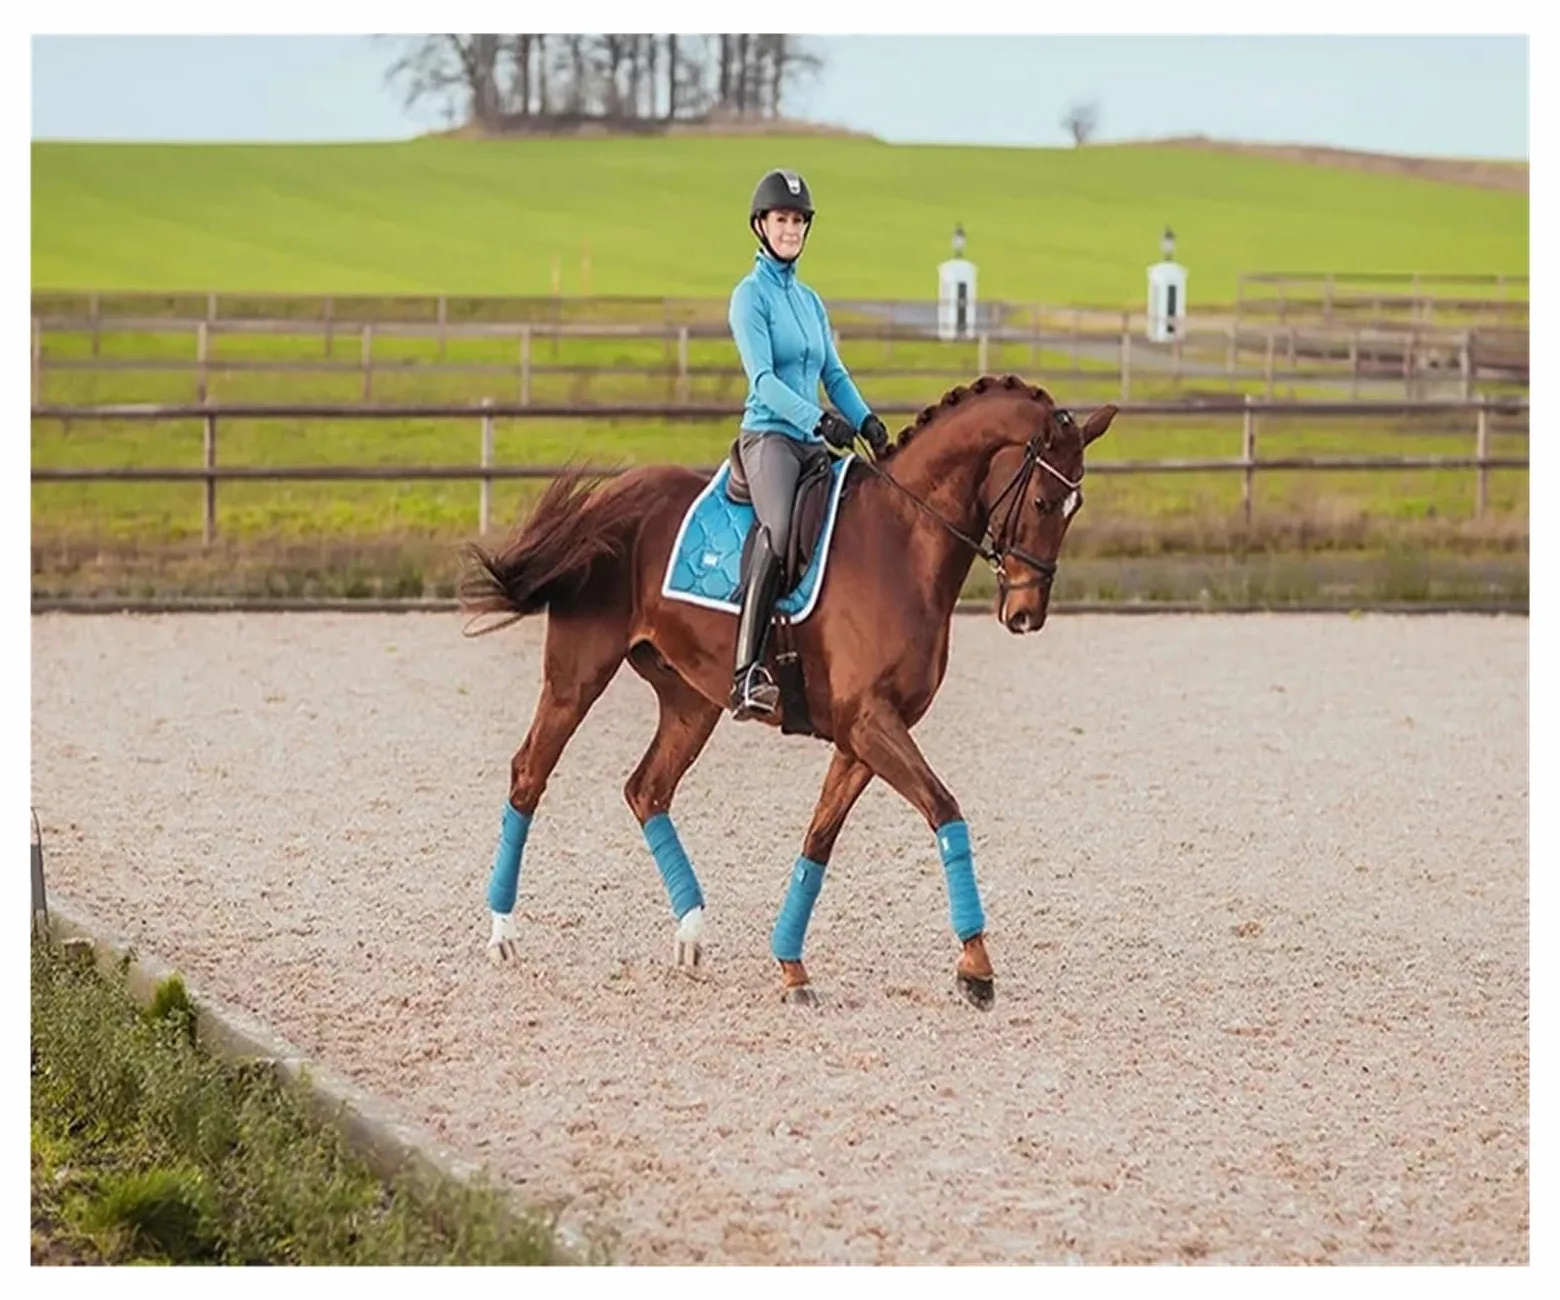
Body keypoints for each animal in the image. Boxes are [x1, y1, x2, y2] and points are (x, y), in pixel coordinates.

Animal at [458, 375, 1116, 1008]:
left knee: (647, 789)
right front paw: (976, 968)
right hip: (577, 677)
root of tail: (608, 499)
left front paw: (792, 968)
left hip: (692, 702)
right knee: (529, 775)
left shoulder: (862, 737)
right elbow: (945, 811)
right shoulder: (870, 723)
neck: (903, 541)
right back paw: (502, 935)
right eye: (1042, 500)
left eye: (1077, 505)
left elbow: (819, 840)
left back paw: (691, 935)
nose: (1026, 614)